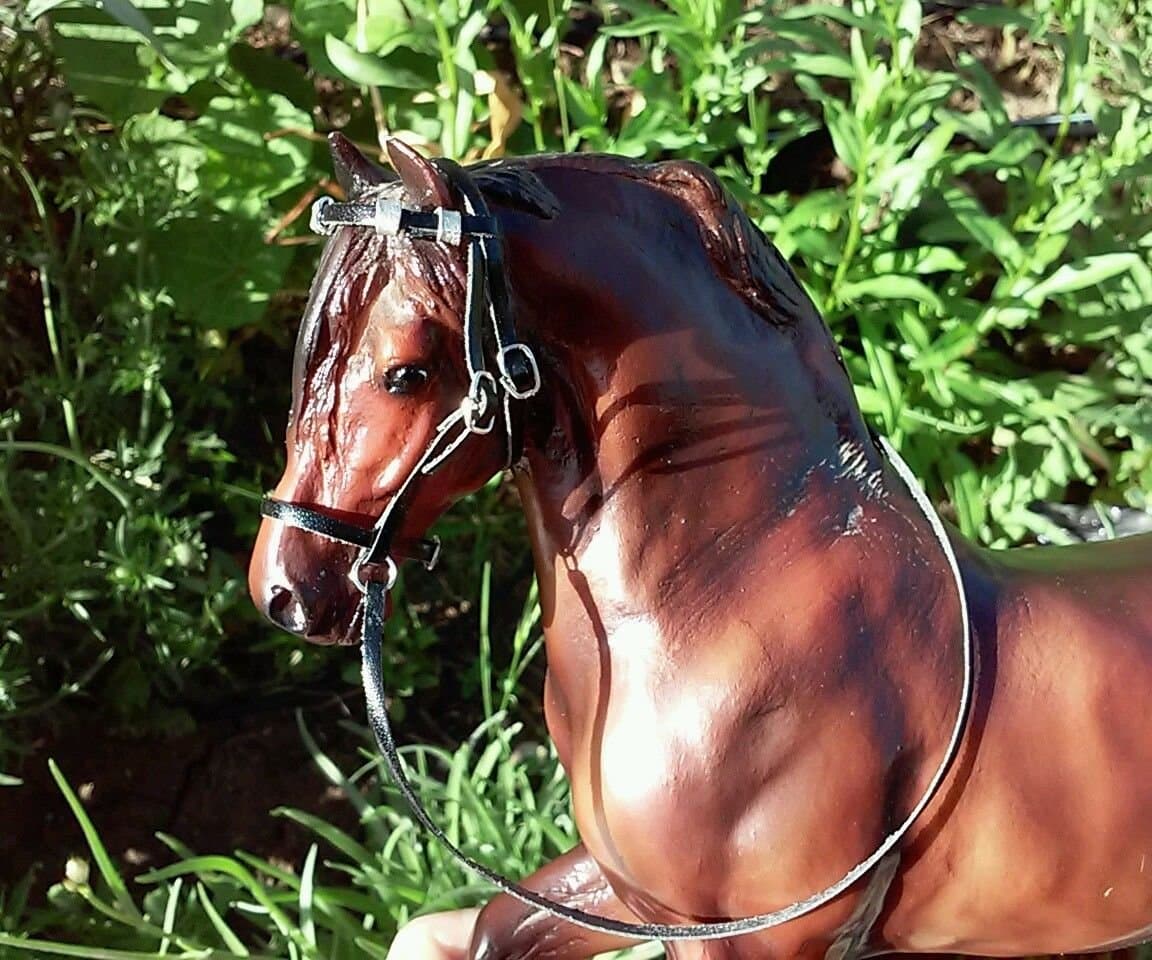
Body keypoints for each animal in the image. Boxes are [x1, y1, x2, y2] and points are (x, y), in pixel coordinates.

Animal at [248, 133, 1152, 960]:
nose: (285, 588)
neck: (727, 603)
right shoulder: (629, 891)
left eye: (403, 372)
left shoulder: (758, 938)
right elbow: (488, 930)